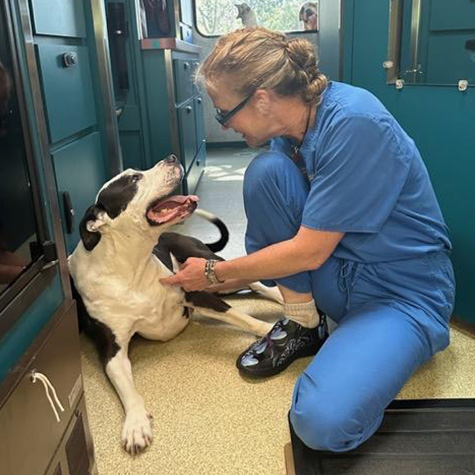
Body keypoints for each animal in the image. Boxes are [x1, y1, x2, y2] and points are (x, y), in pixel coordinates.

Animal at [67, 155, 278, 454]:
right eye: (134, 179)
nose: (172, 158)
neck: (131, 266)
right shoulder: (112, 350)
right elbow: (128, 390)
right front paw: (135, 424)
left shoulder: (195, 294)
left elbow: (244, 318)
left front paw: (268, 329)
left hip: (210, 267)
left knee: (259, 282)